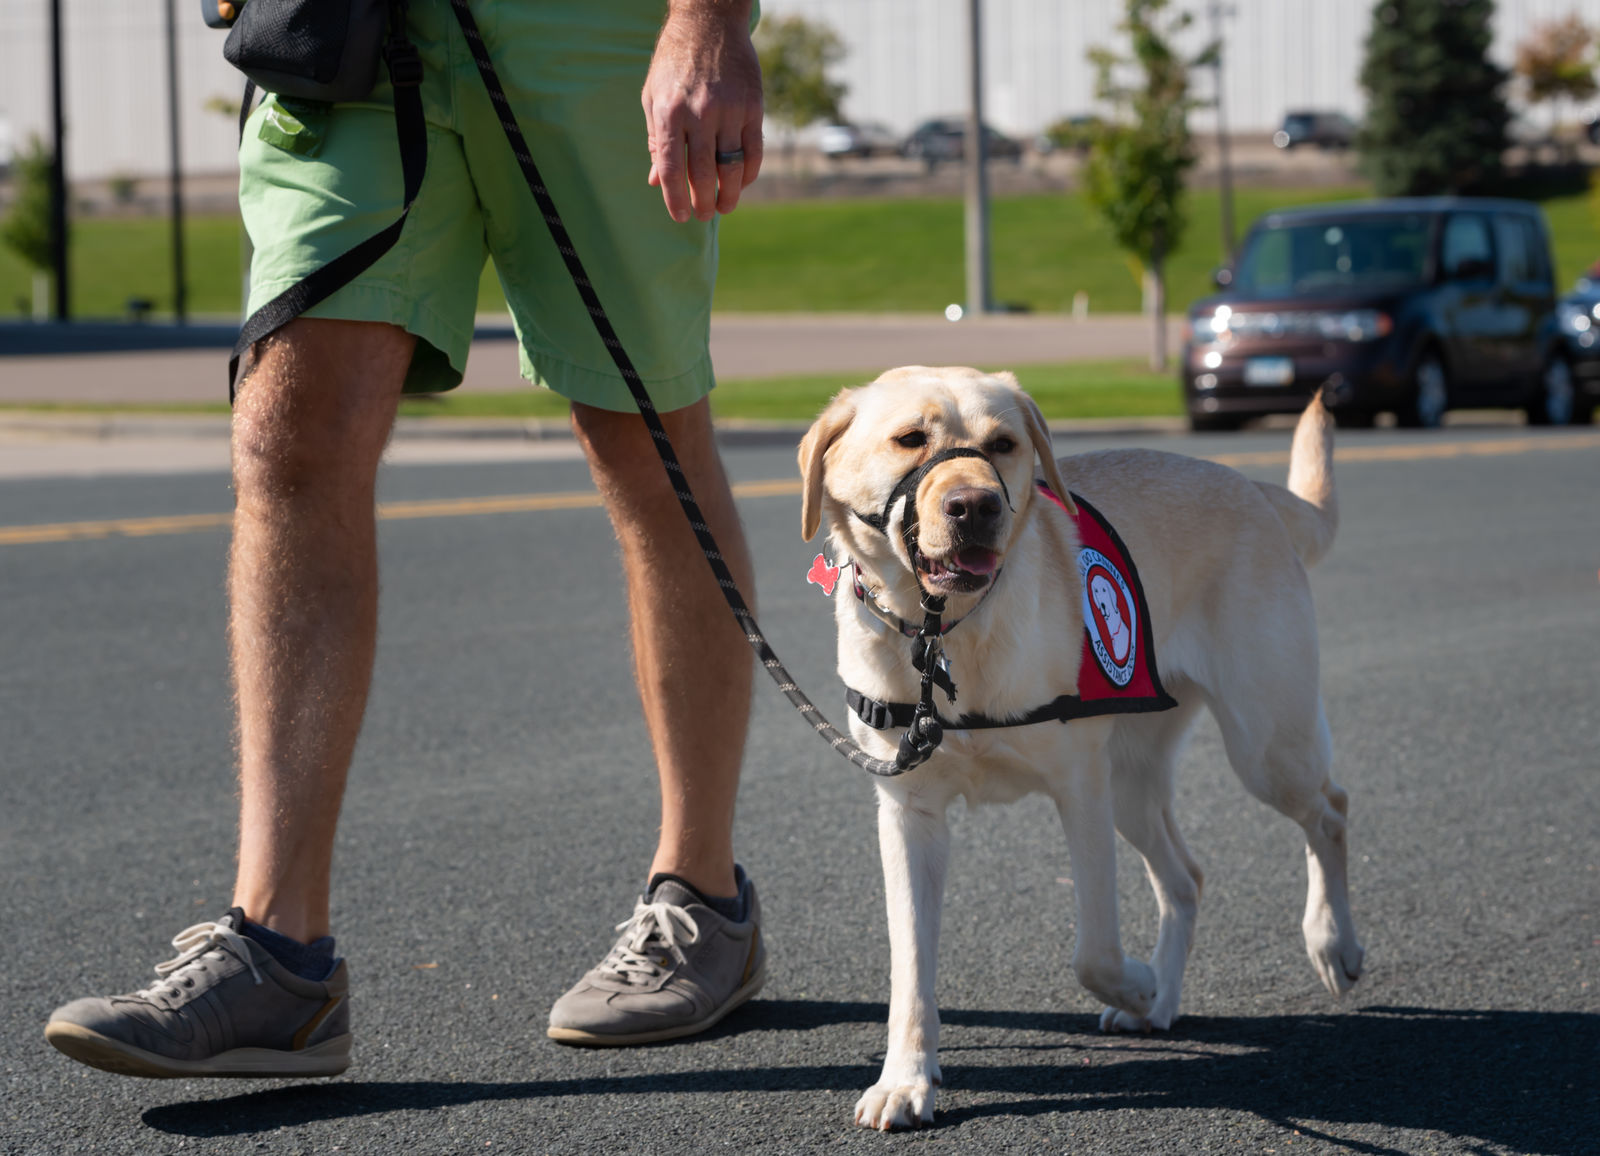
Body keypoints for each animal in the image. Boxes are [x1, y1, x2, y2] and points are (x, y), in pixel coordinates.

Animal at [796, 366, 1363, 1127]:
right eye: (910, 439)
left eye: (1004, 444)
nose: (976, 506)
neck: (948, 636)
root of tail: (1250, 486)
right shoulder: (909, 814)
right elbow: (910, 968)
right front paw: (905, 1080)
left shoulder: (1080, 789)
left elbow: (1093, 951)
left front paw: (1136, 981)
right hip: (1134, 783)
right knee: (1187, 877)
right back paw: (1165, 1001)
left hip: (1264, 742)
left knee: (1329, 809)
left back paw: (1331, 944)